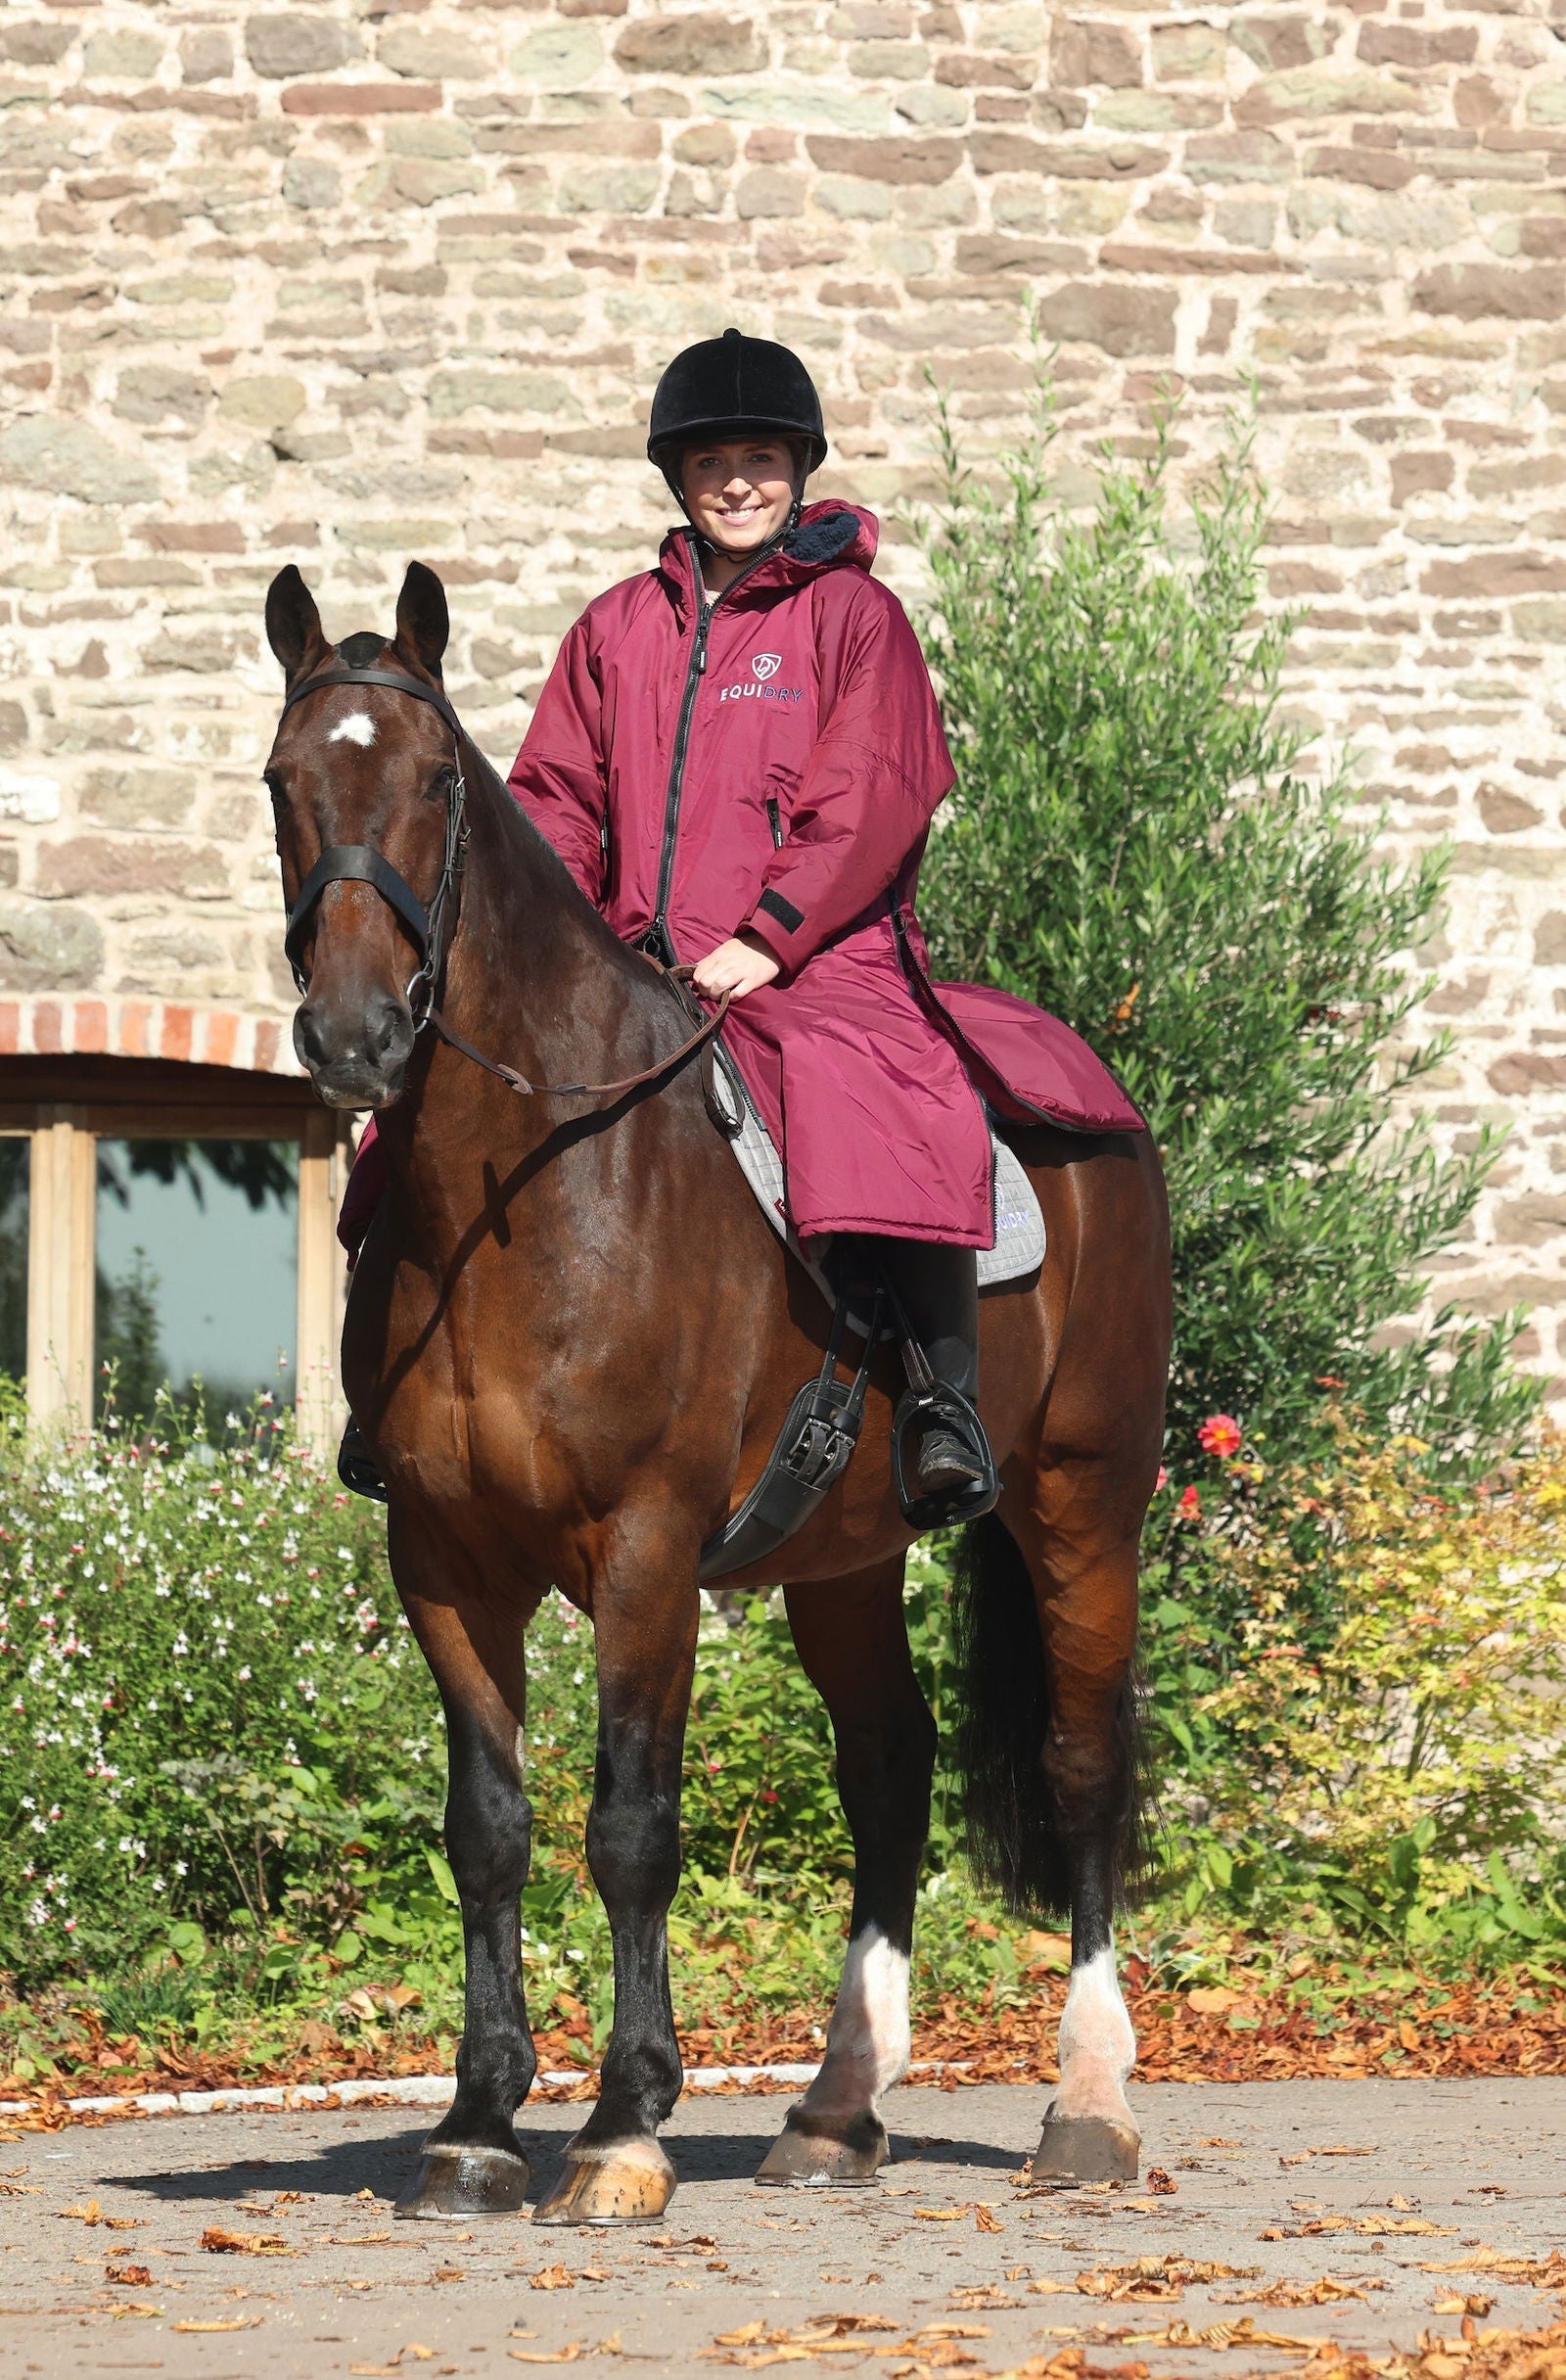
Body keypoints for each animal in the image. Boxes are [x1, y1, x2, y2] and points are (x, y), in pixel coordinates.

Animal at [262, 558, 1171, 2227]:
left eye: (435, 782)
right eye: (286, 782)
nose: (356, 1035)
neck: (526, 1188)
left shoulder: (646, 1549)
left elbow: (630, 1822)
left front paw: (623, 2121)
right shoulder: (444, 1561)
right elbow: (488, 1828)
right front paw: (477, 2120)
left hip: (1086, 1499)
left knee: (1083, 1767)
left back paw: (1086, 2102)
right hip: (846, 1553)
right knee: (890, 1766)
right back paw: (839, 2103)